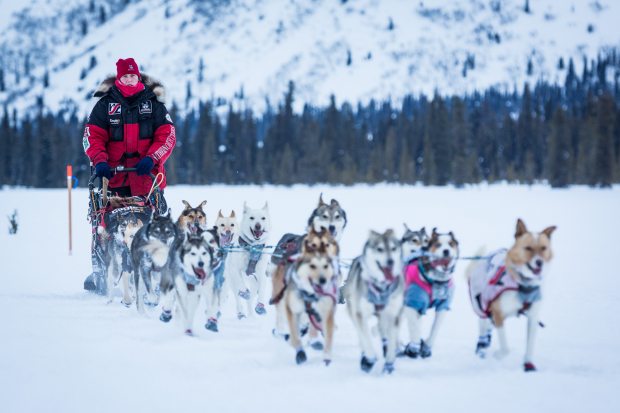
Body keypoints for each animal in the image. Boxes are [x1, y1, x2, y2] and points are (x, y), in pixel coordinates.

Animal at [342, 229, 404, 374]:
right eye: (379, 249)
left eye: (393, 248)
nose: (390, 261)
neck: (381, 287)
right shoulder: (360, 314)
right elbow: (366, 337)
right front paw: (369, 359)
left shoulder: (394, 314)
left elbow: (392, 339)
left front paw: (389, 363)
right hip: (354, 311)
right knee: (362, 336)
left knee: (383, 332)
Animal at [464, 219, 556, 370]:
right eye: (528, 248)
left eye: (543, 248)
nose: (539, 262)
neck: (522, 284)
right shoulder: (498, 313)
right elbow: (505, 348)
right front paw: (498, 355)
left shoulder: (533, 316)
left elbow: (530, 344)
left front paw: (528, 363)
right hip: (482, 306)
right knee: (483, 327)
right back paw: (482, 347)